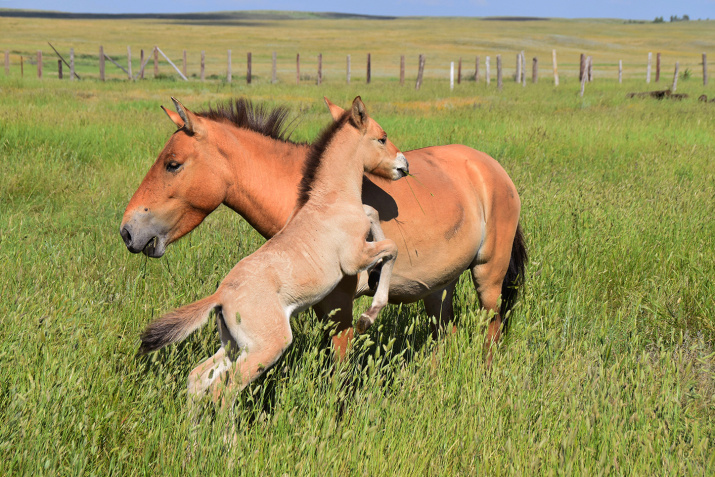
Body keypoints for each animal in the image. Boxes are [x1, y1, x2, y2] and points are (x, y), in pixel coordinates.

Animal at [121, 96, 524, 356]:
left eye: (172, 164)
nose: (127, 231)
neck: (319, 200)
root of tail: (491, 168)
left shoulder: (339, 309)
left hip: (487, 278)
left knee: (492, 330)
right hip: (438, 289)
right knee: (448, 334)